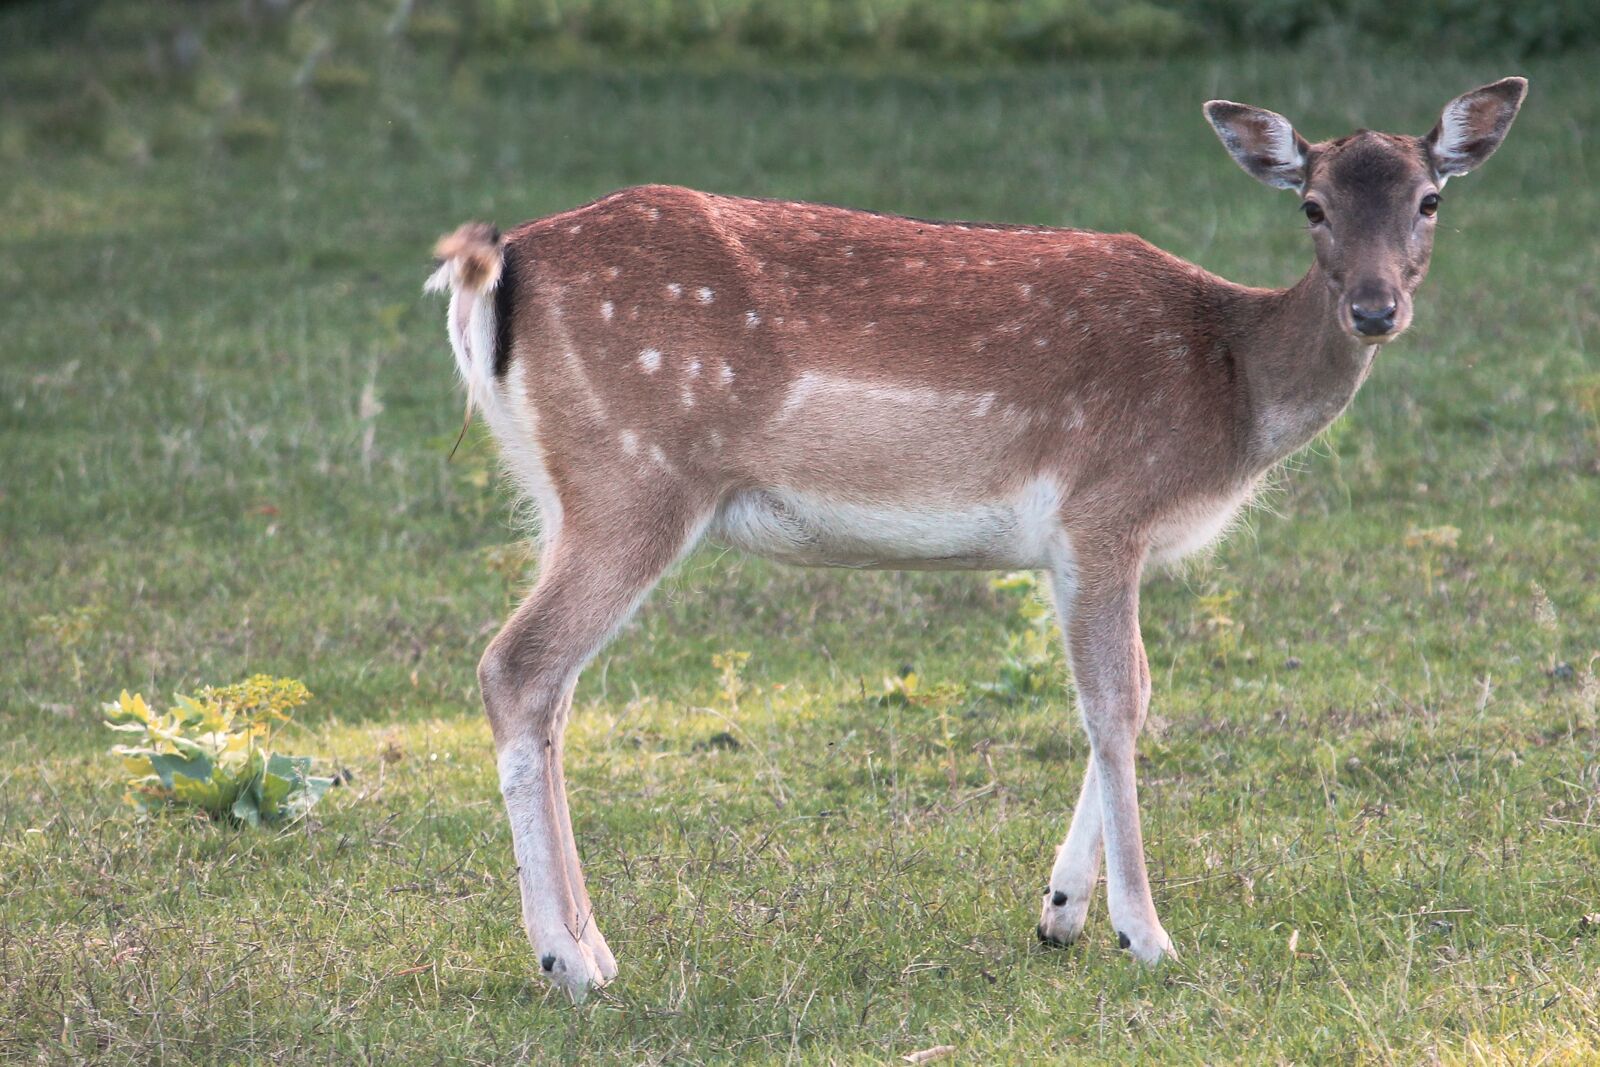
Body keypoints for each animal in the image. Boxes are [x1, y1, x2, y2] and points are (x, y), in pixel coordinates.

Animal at [424, 77, 1526, 1001]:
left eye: (1430, 199)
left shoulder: (1082, 546)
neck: (1234, 386)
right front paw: (1144, 933)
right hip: (636, 478)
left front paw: (1061, 912)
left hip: (564, 493)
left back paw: (591, 942)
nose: (1375, 308)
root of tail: (493, 268)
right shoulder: (1103, 509)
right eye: (1313, 205)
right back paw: (569, 960)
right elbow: (1113, 701)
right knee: (517, 665)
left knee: (554, 688)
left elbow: (1129, 695)